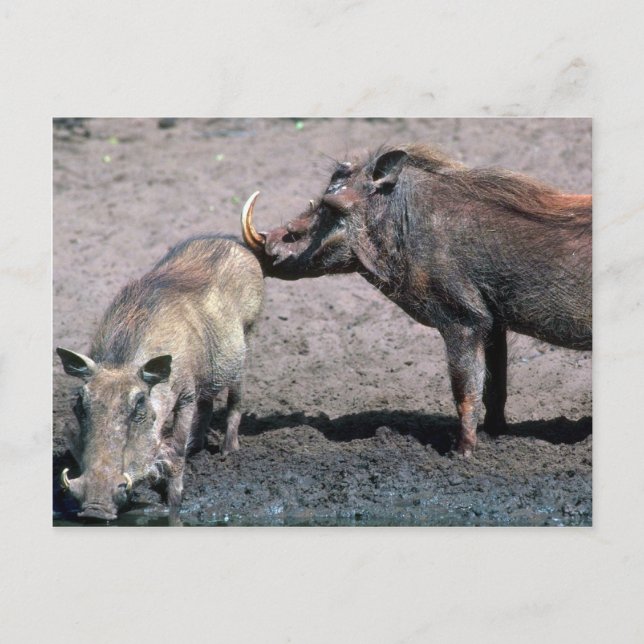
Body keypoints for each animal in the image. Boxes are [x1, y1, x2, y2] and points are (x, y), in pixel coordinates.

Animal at [56, 235, 264, 520]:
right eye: (80, 404)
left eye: (139, 404)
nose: (94, 511)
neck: (122, 361)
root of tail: (231, 240)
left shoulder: (186, 395)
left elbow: (175, 450)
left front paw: (173, 504)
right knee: (207, 402)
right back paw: (197, 448)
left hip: (246, 342)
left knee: (236, 397)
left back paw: (228, 450)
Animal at [240, 145, 591, 456]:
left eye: (330, 203)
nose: (265, 247)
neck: (403, 219)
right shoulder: (493, 323)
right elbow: (494, 388)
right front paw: (495, 437)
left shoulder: (463, 319)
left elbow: (465, 390)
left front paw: (461, 454)